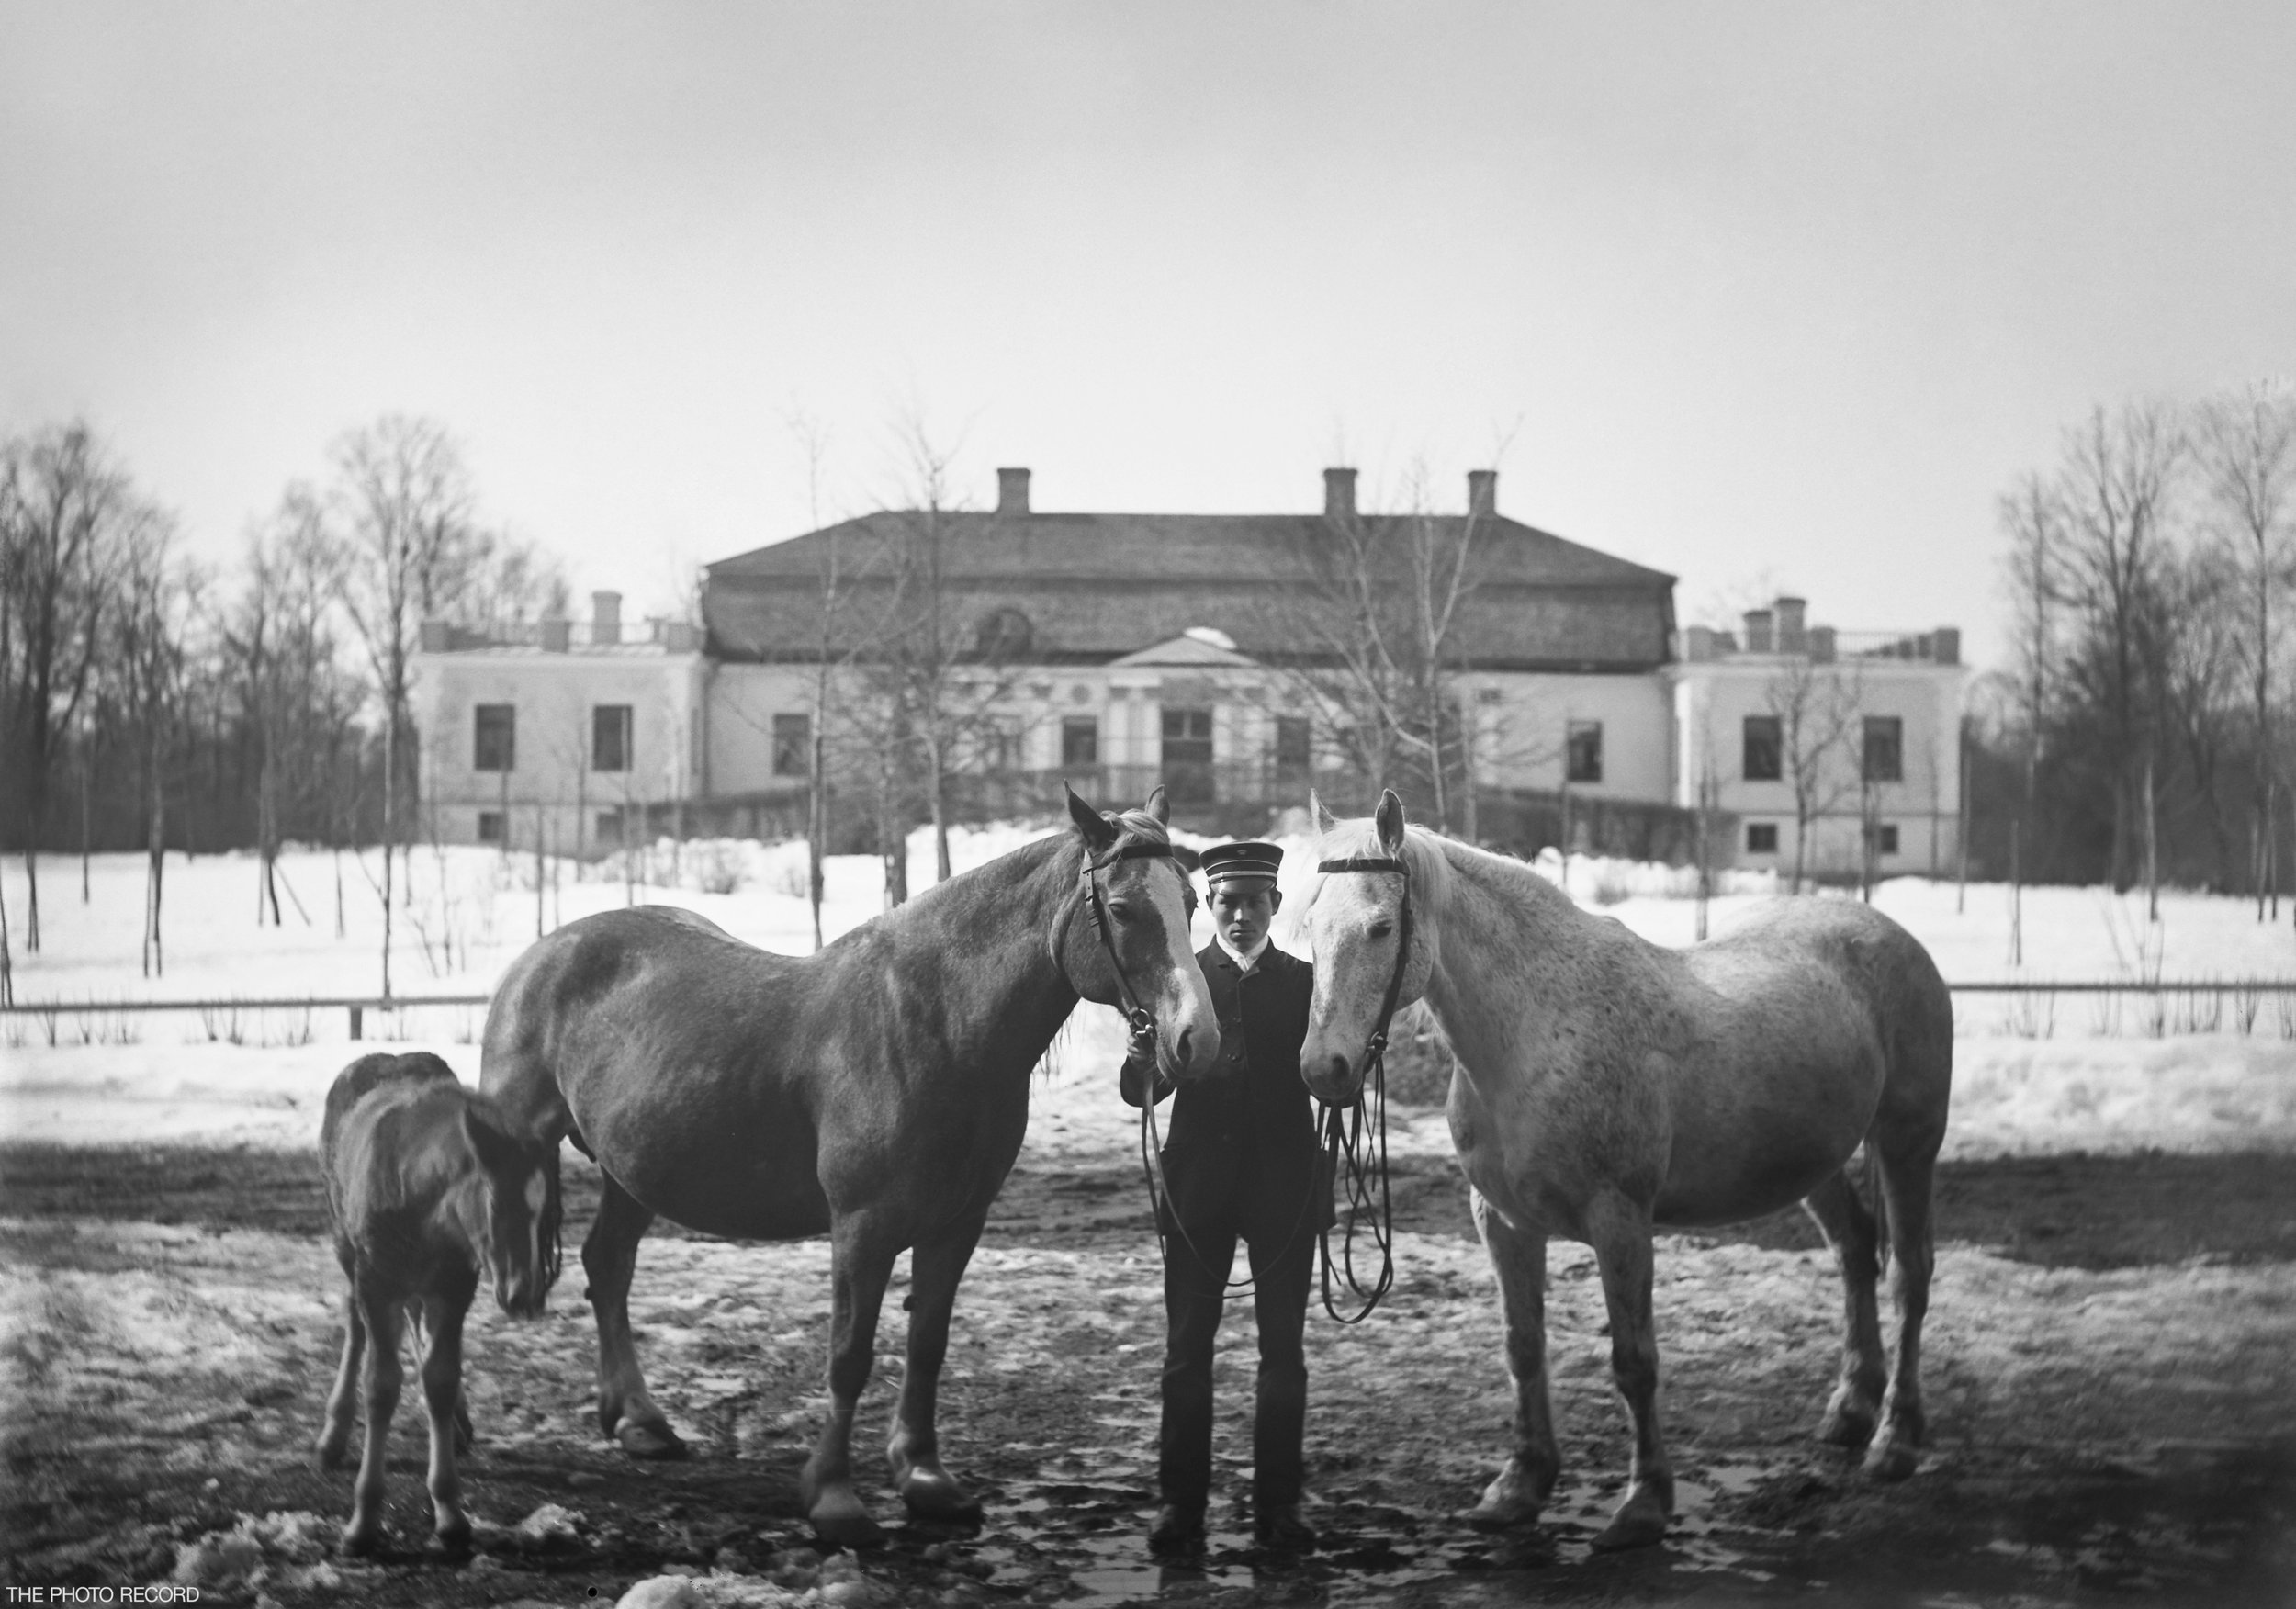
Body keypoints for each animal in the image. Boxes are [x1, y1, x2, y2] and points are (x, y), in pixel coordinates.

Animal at [316, 1050, 562, 1555]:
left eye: (543, 1208)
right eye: (495, 1199)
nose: (525, 1295)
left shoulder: (454, 1287)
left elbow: (441, 1380)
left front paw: (449, 1511)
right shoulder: (377, 1282)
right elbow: (381, 1385)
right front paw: (363, 1520)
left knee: (417, 1328)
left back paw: (460, 1424)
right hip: (345, 1245)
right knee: (354, 1323)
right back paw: (333, 1435)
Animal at [479, 787, 1221, 1545]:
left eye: (1192, 901)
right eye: (1124, 908)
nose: (1197, 1039)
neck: (935, 1025)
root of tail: (542, 954)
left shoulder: (957, 1225)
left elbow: (928, 1343)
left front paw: (924, 1478)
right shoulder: (863, 1228)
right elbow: (850, 1353)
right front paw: (833, 1496)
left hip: (632, 1172)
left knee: (608, 1266)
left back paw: (639, 1421)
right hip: (521, 1157)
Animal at [1299, 792, 1951, 1551]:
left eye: (1379, 928)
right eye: (1309, 924)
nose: (1324, 1069)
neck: (1535, 1034)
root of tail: (1890, 933)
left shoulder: (1621, 1222)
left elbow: (1635, 1362)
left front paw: (1644, 1504)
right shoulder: (1503, 1223)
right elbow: (1523, 1348)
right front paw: (1520, 1486)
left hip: (1907, 1143)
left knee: (1909, 1273)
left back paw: (1895, 1439)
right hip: (1816, 1160)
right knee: (1855, 1252)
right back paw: (1851, 1409)